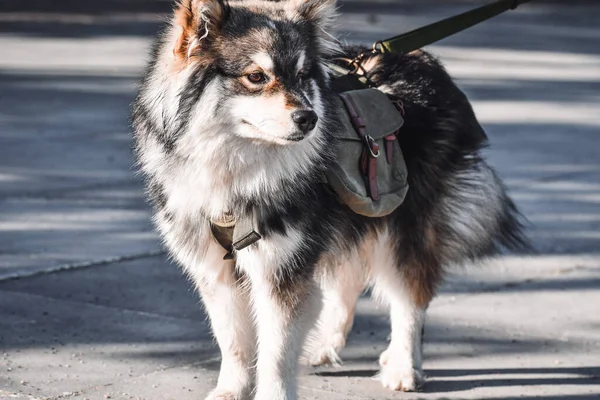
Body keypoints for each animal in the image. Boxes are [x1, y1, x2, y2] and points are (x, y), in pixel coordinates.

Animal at [130, 0, 524, 400]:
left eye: (304, 75)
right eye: (256, 76)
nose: (309, 118)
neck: (237, 167)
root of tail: (423, 61)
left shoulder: (282, 268)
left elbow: (275, 351)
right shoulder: (215, 268)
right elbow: (233, 341)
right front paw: (231, 390)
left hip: (403, 227)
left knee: (409, 296)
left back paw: (403, 365)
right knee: (348, 276)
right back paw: (326, 343)